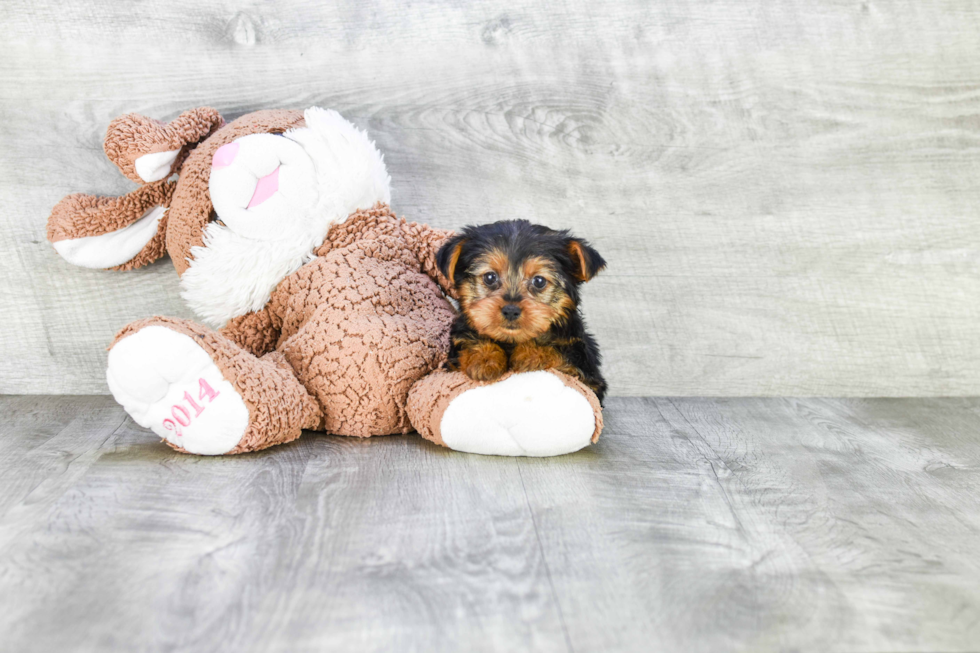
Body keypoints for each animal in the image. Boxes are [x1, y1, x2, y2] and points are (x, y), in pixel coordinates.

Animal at [436, 222, 604, 400]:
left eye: (539, 281)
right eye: (490, 277)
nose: (510, 310)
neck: (512, 341)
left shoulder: (586, 371)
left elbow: (561, 352)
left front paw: (530, 354)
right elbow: (469, 339)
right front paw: (484, 358)